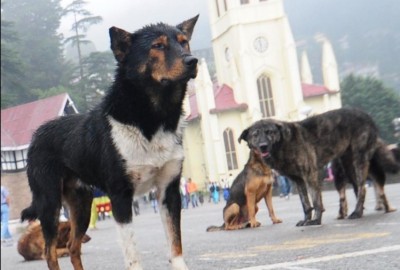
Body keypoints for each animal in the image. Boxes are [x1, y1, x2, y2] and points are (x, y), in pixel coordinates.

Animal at [20, 15, 198, 270]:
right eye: (158, 46)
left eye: (184, 42)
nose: (193, 61)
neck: (153, 120)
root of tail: (37, 135)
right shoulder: (120, 196)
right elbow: (132, 254)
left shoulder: (169, 191)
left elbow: (175, 245)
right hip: (49, 203)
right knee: (50, 252)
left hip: (82, 204)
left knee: (73, 247)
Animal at [239, 108, 382, 227]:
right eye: (255, 135)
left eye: (269, 132)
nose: (263, 146)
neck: (284, 143)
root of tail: (368, 116)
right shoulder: (298, 180)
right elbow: (306, 204)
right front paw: (306, 220)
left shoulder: (310, 175)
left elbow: (316, 201)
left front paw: (316, 220)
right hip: (348, 165)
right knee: (358, 188)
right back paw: (360, 211)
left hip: (359, 161)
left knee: (362, 188)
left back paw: (357, 212)